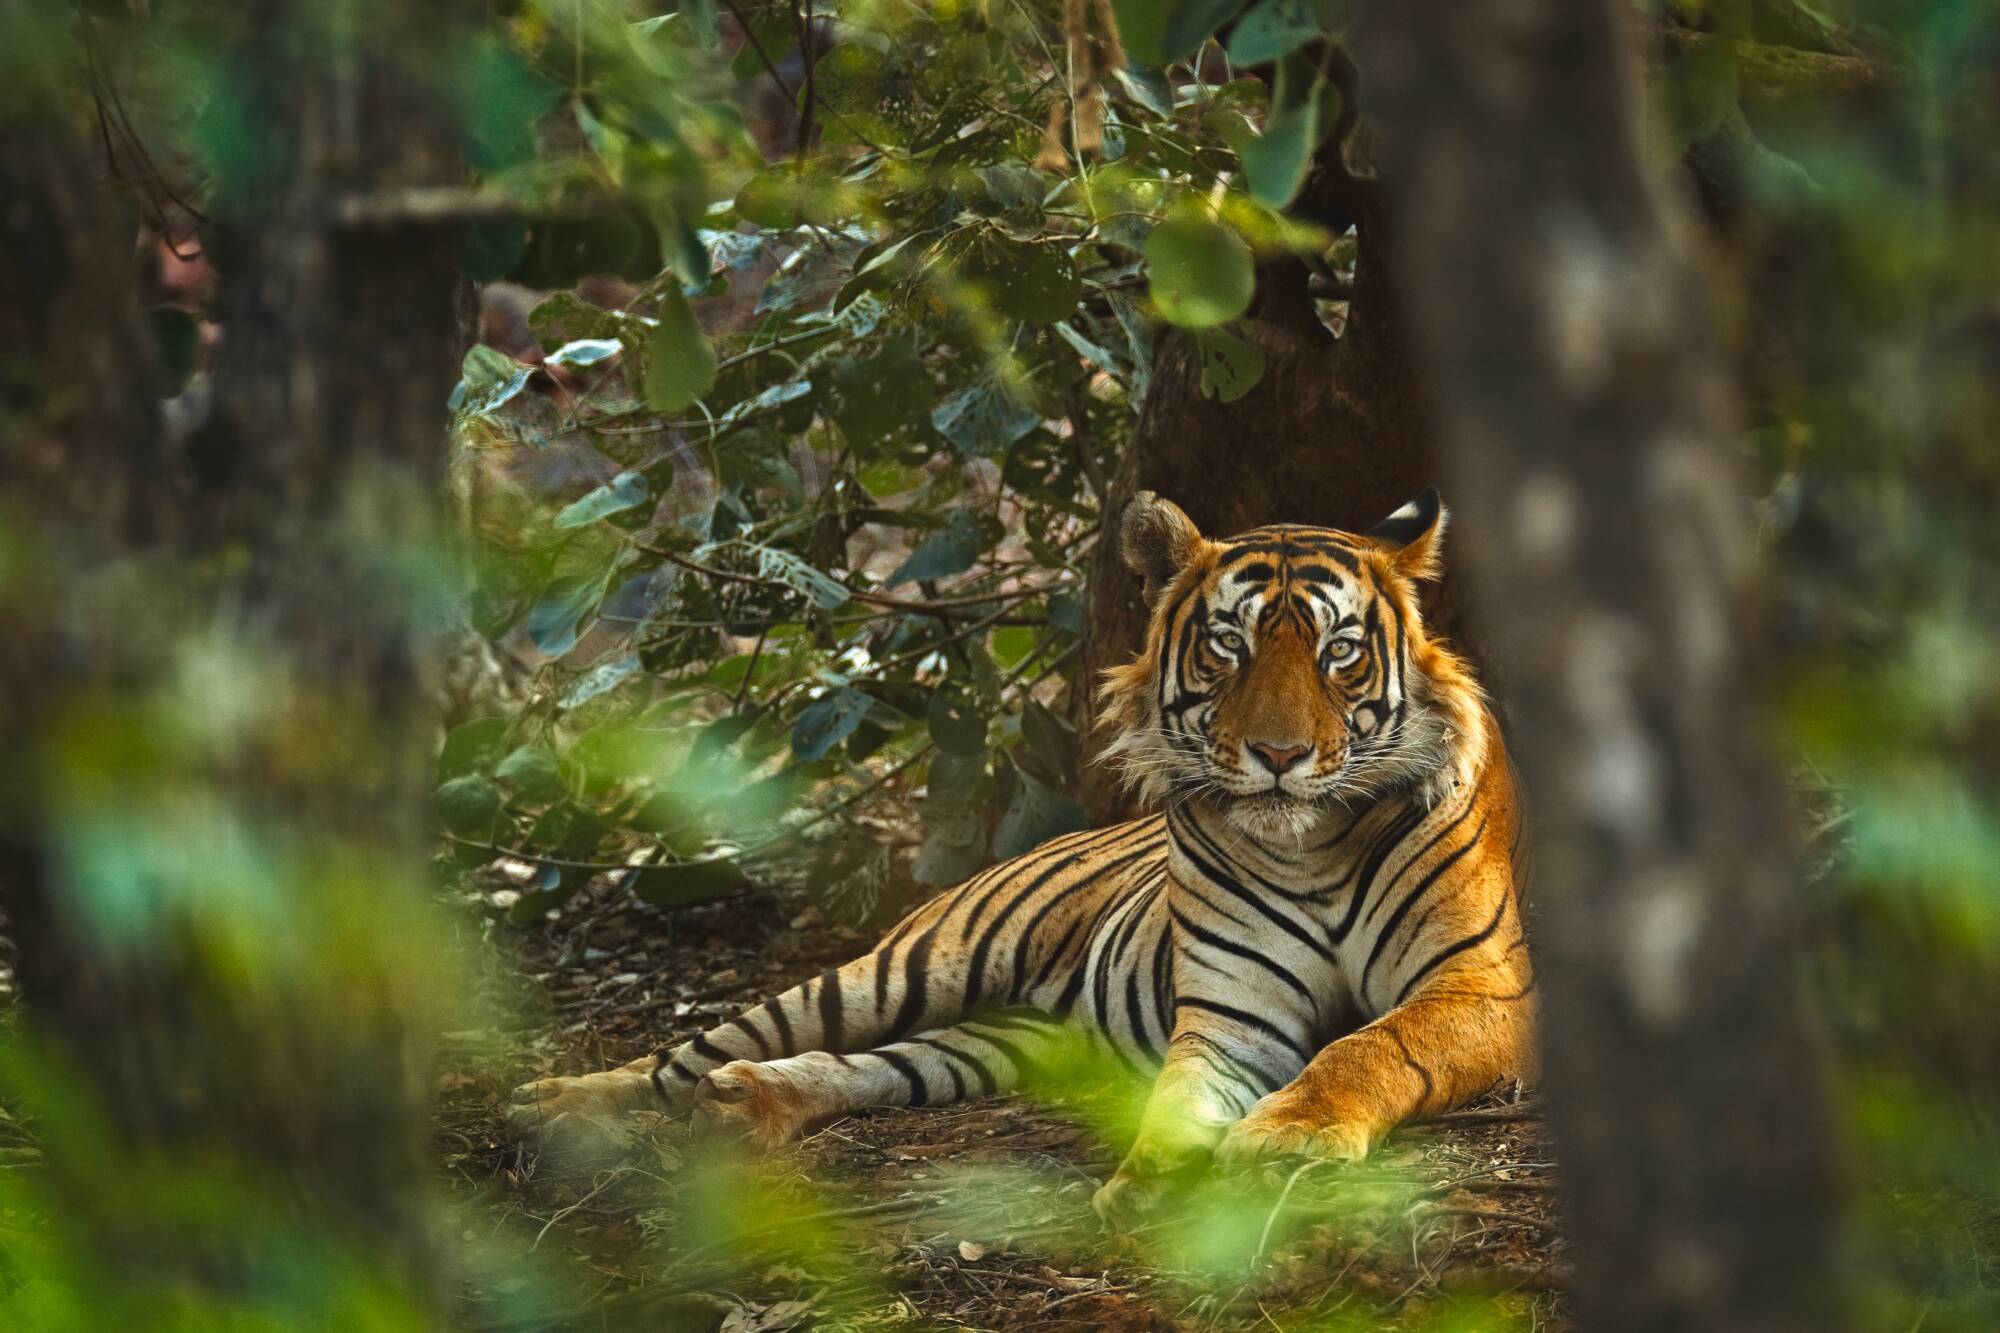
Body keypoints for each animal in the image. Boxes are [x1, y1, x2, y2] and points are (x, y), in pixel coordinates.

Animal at [509, 489, 1536, 1221]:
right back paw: (558, 1100)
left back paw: (745, 1105)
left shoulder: (1481, 985)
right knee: (698, 1048)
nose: (1278, 755)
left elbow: (1369, 1046)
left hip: (1004, 1040)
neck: (1310, 846)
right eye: (1228, 646)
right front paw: (1151, 1183)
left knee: (874, 1066)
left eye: (1340, 653)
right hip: (905, 968)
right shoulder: (1231, 1015)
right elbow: (1180, 1097)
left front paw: (1287, 1137)